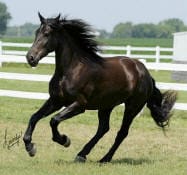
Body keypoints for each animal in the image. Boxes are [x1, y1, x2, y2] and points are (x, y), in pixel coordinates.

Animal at [22, 13, 176, 163]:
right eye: (36, 32)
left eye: (47, 33)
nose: (30, 58)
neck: (71, 71)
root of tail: (146, 73)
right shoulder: (56, 101)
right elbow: (34, 117)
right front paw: (30, 147)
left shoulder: (79, 105)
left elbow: (54, 120)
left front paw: (65, 140)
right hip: (106, 106)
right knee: (103, 128)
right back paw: (82, 155)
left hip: (132, 107)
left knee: (122, 132)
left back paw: (104, 158)